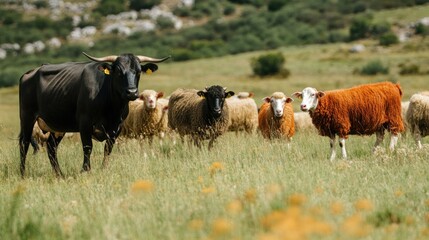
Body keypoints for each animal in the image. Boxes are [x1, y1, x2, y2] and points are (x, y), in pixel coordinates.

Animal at [18, 52, 169, 176]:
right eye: (118, 71)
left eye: (138, 72)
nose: (132, 92)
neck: (112, 108)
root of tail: (31, 72)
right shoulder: (85, 123)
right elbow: (87, 147)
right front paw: (85, 170)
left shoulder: (116, 128)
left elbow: (108, 149)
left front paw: (104, 169)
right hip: (27, 116)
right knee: (24, 143)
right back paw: (23, 173)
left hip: (58, 126)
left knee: (51, 147)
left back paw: (59, 174)